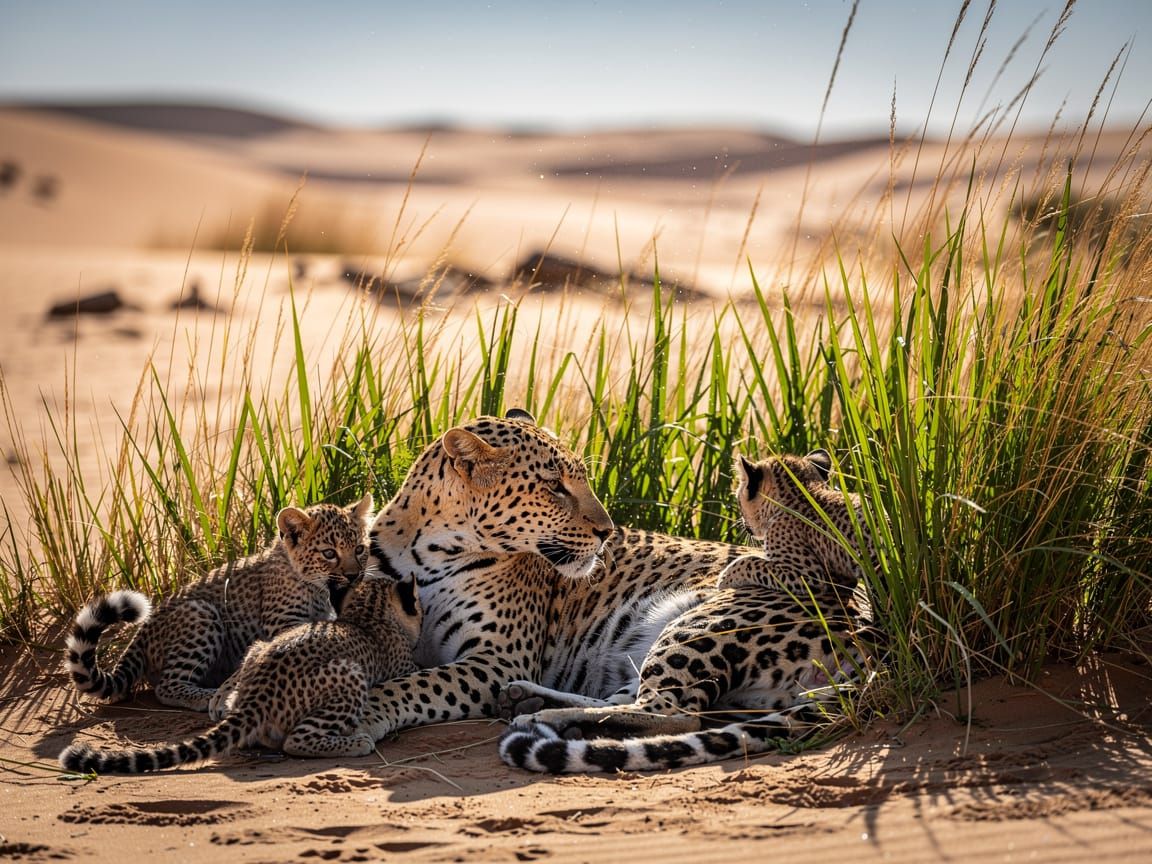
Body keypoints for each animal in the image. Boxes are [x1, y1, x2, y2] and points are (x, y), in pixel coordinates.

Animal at [60, 572, 421, 773]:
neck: (367, 615)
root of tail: (253, 700)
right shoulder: (403, 664)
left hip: (256, 649)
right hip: (348, 674)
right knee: (296, 740)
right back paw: (356, 743)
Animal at [64, 494, 373, 712]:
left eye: (359, 549)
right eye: (329, 553)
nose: (354, 575)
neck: (317, 587)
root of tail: (138, 636)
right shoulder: (283, 623)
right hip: (200, 613)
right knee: (166, 686)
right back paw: (207, 696)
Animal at [350, 410, 874, 774]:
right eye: (554, 487)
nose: (606, 532)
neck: (426, 547)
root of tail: (878, 641)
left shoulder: (497, 659)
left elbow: (416, 684)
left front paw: (366, 715)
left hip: (701, 620)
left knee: (675, 713)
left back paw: (542, 718)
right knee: (637, 701)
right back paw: (535, 706)